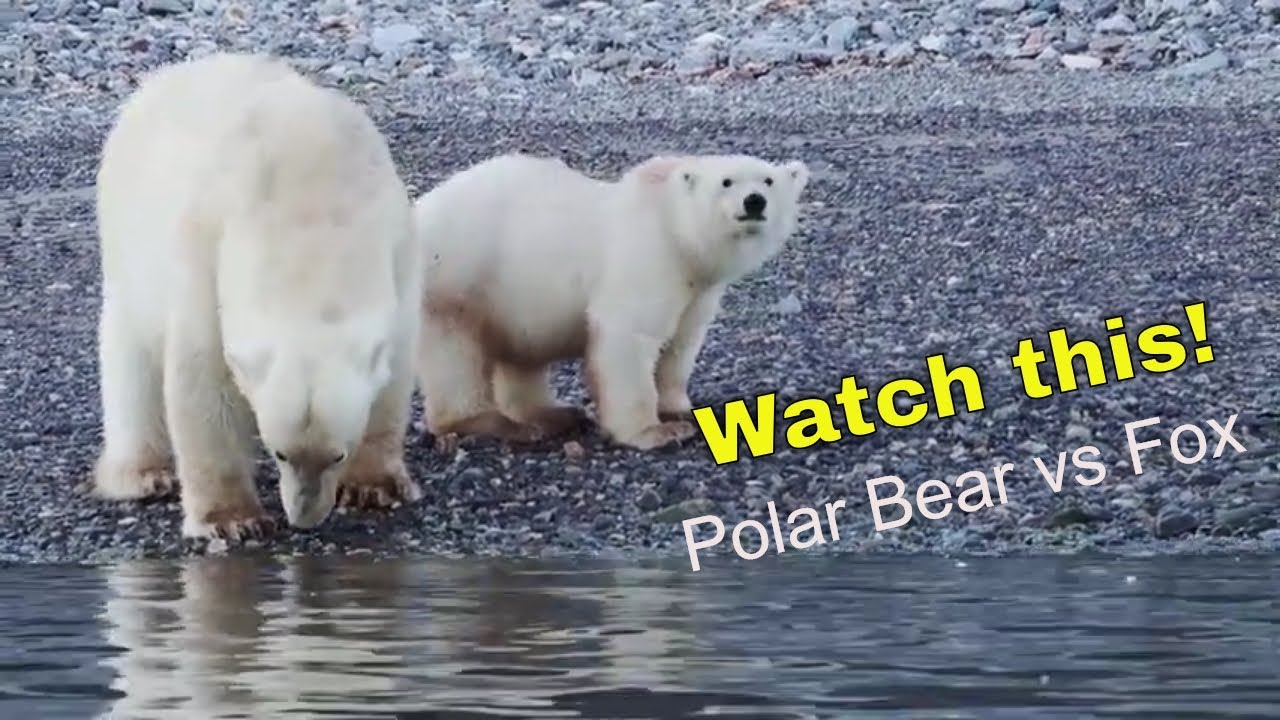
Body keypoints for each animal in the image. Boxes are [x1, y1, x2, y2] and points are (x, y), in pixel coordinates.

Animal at [90, 52, 424, 541]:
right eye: (280, 452)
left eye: (337, 455)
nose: (305, 518)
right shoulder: (208, 249)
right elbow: (203, 380)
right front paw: (230, 520)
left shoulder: (397, 246)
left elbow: (393, 372)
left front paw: (373, 486)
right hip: (126, 237)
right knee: (130, 357)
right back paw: (142, 474)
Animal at [411, 151, 809, 450]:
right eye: (726, 182)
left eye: (768, 181)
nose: (754, 201)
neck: (672, 225)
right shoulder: (649, 256)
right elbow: (630, 335)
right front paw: (655, 432)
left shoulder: (698, 289)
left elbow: (681, 343)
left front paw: (681, 409)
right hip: (458, 276)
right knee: (455, 352)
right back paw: (494, 422)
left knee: (521, 358)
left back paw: (555, 415)